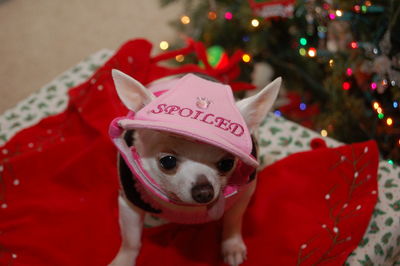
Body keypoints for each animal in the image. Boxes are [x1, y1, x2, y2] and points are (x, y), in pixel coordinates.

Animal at [108, 69, 280, 264]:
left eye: (227, 164)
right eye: (168, 161)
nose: (204, 192)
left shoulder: (243, 196)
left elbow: (234, 220)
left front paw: (232, 245)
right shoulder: (128, 204)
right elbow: (130, 241)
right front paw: (124, 260)